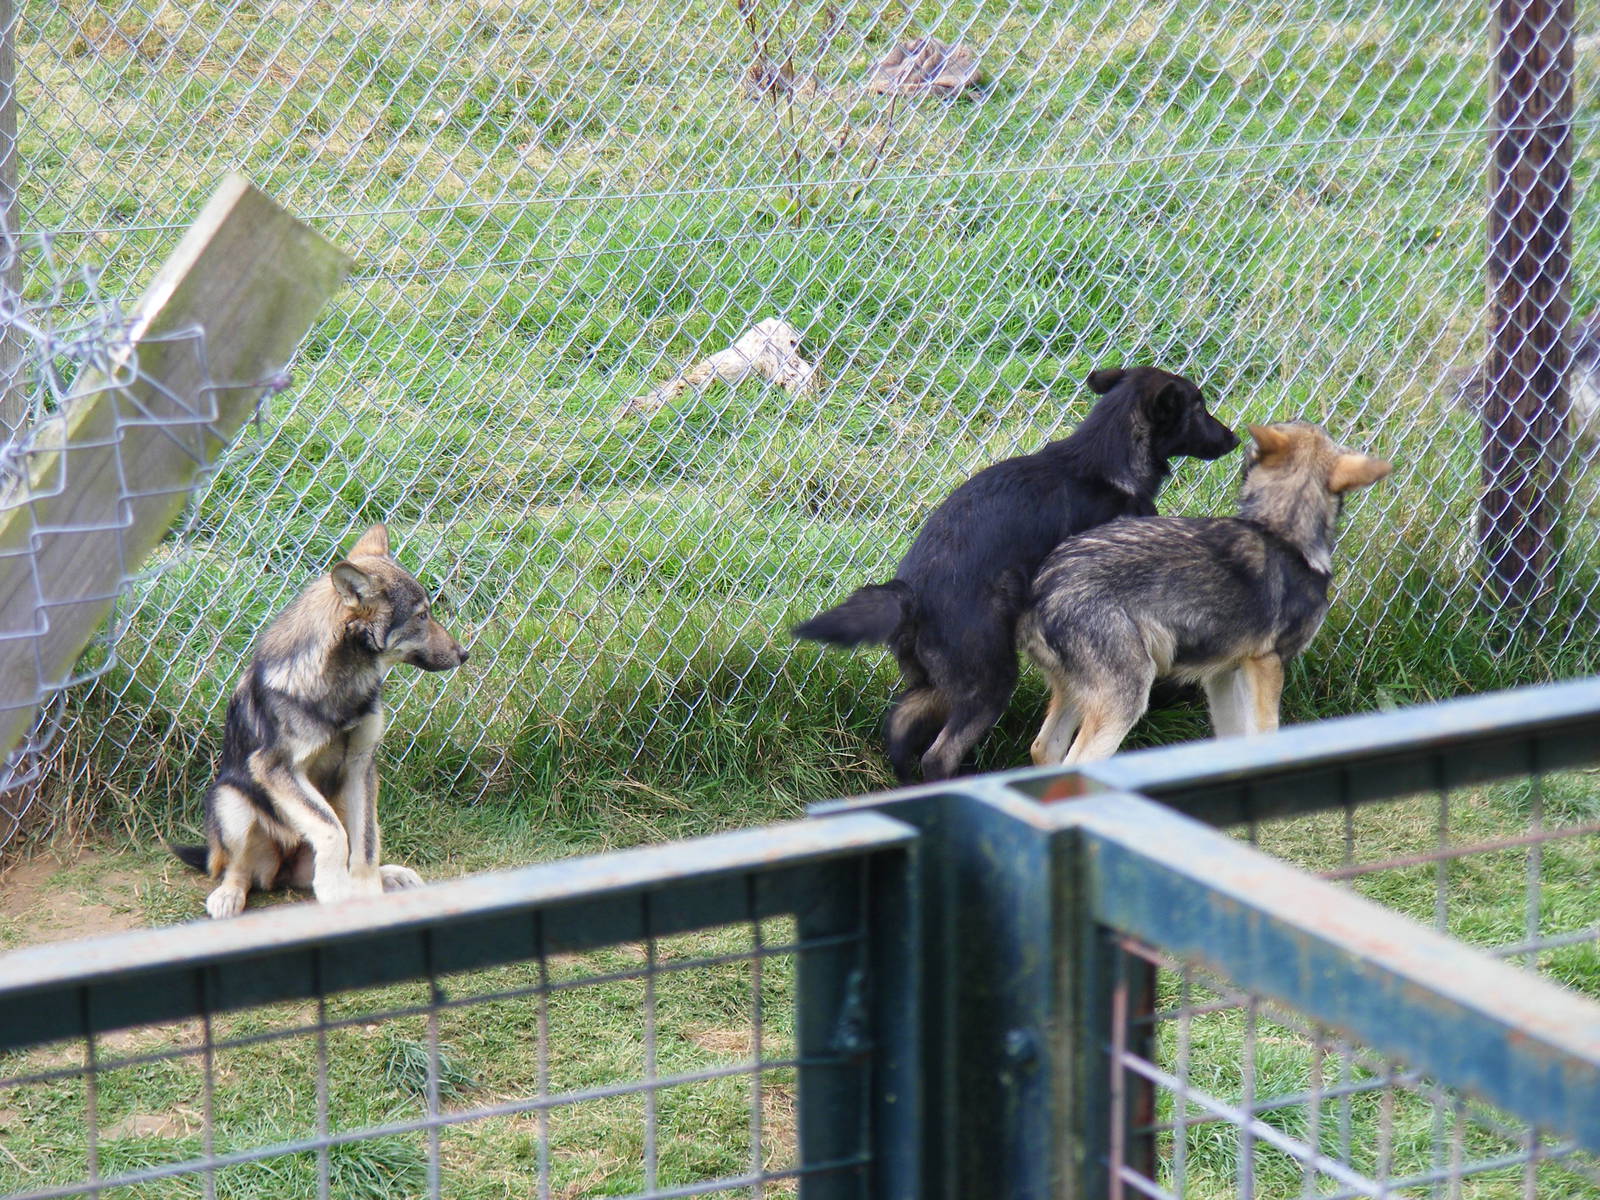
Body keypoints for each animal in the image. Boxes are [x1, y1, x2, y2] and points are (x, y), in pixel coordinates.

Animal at [172, 524, 468, 919]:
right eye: (422, 616)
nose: (464, 654)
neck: (343, 685)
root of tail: (281, 872)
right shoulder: (275, 769)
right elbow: (332, 832)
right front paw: (335, 889)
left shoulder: (360, 765)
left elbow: (366, 844)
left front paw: (367, 892)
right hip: (231, 802)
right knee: (237, 870)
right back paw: (228, 896)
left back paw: (392, 876)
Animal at [792, 366, 1238, 782]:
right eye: (1199, 408)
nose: (1234, 439)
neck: (1102, 456)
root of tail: (909, 593)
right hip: (989, 681)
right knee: (938, 755)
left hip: (939, 682)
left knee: (901, 725)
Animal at [1020, 421, 1390, 765]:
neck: (1282, 532)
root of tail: (1040, 591)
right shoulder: (1268, 664)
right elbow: (1265, 735)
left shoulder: (1221, 674)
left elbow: (1232, 740)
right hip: (1126, 702)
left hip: (1079, 697)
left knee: (1043, 747)